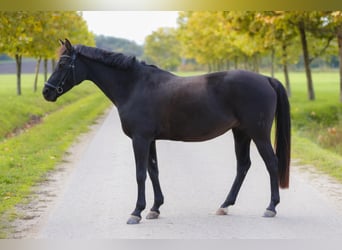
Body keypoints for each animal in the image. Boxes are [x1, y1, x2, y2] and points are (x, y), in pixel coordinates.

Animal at [41, 38, 290, 225]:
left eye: (62, 64)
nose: (46, 92)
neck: (135, 86)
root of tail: (266, 79)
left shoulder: (140, 139)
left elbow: (140, 173)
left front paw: (136, 212)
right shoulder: (150, 140)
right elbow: (153, 171)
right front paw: (155, 208)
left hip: (258, 134)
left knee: (271, 163)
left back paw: (271, 207)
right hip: (241, 133)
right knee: (243, 166)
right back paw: (224, 206)